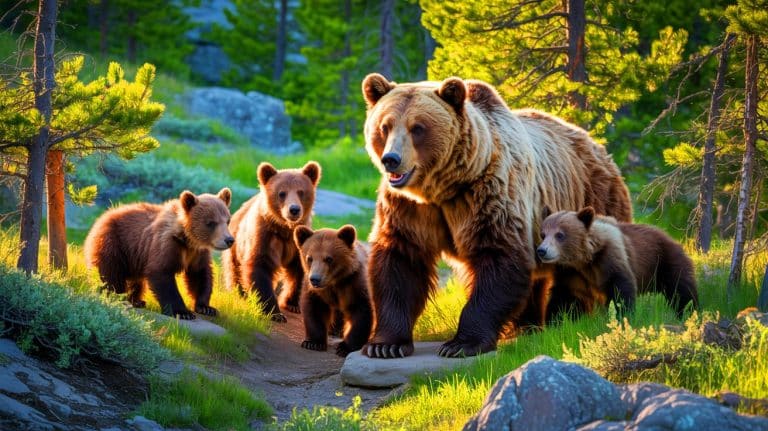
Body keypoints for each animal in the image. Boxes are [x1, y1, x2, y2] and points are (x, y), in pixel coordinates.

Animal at [84, 188, 234, 319]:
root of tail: (101, 218)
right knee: (111, 274)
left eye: (227, 220)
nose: (229, 240)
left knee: (135, 281)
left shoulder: (197, 254)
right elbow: (161, 273)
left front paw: (206, 307)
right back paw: (118, 297)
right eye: (211, 223)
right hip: (113, 244)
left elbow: (200, 275)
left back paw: (136, 300)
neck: (186, 240)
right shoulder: (165, 244)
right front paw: (182, 312)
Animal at [222, 161, 321, 322]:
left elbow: (299, 269)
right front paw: (275, 313)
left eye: (301, 192)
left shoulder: (297, 242)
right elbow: (260, 266)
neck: (285, 229)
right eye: (282, 193)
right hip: (235, 246)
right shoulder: (265, 237)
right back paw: (241, 294)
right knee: (235, 271)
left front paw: (292, 304)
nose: (294, 209)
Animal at [294, 225, 373, 357]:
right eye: (309, 258)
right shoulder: (317, 292)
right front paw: (313, 343)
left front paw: (345, 348)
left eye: (329, 259)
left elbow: (362, 313)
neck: (335, 282)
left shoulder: (356, 285)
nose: (315, 279)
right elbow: (315, 310)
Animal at [359, 73, 632, 358]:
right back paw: (528, 326)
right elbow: (400, 260)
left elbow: (499, 257)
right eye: (385, 126)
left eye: (418, 128)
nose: (391, 159)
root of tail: (599, 146)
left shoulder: (488, 193)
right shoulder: (409, 209)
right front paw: (385, 345)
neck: (442, 190)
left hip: (591, 202)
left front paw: (461, 343)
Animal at [536, 206, 699, 321]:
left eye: (560, 235)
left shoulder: (610, 258)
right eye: (543, 234)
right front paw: (553, 322)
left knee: (680, 289)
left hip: (665, 260)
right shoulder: (571, 273)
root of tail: (670, 236)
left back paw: (688, 311)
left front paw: (623, 316)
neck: (585, 259)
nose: (542, 251)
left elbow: (621, 288)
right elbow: (562, 296)